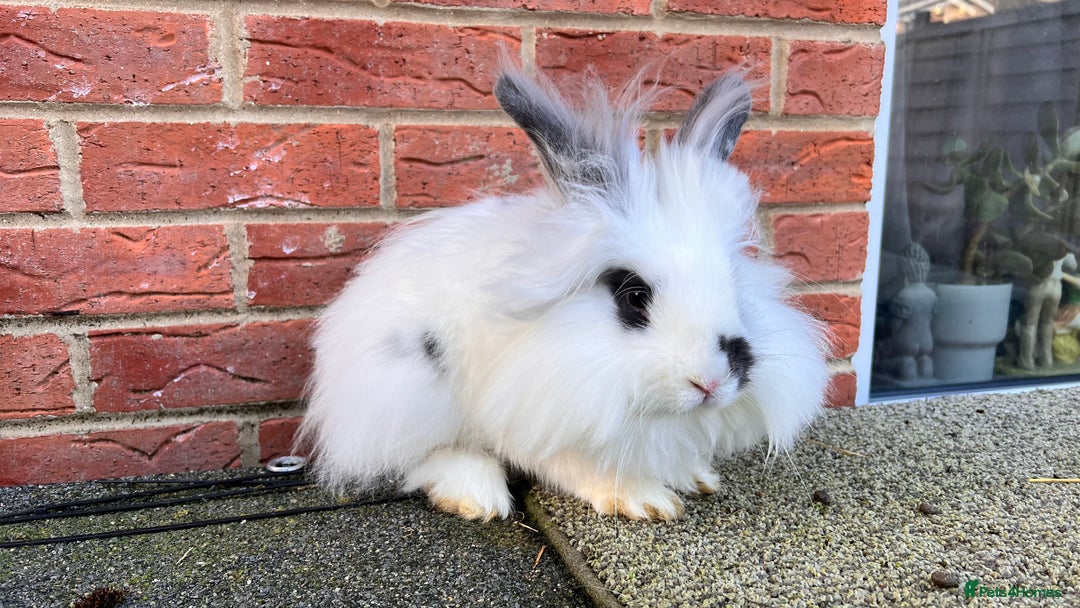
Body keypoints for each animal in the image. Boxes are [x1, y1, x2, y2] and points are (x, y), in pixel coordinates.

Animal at [297, 65, 829, 522]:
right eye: (633, 296)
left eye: (734, 283)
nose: (711, 383)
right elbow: (577, 465)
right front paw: (642, 498)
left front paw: (692, 475)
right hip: (408, 389)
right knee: (418, 455)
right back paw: (475, 494)